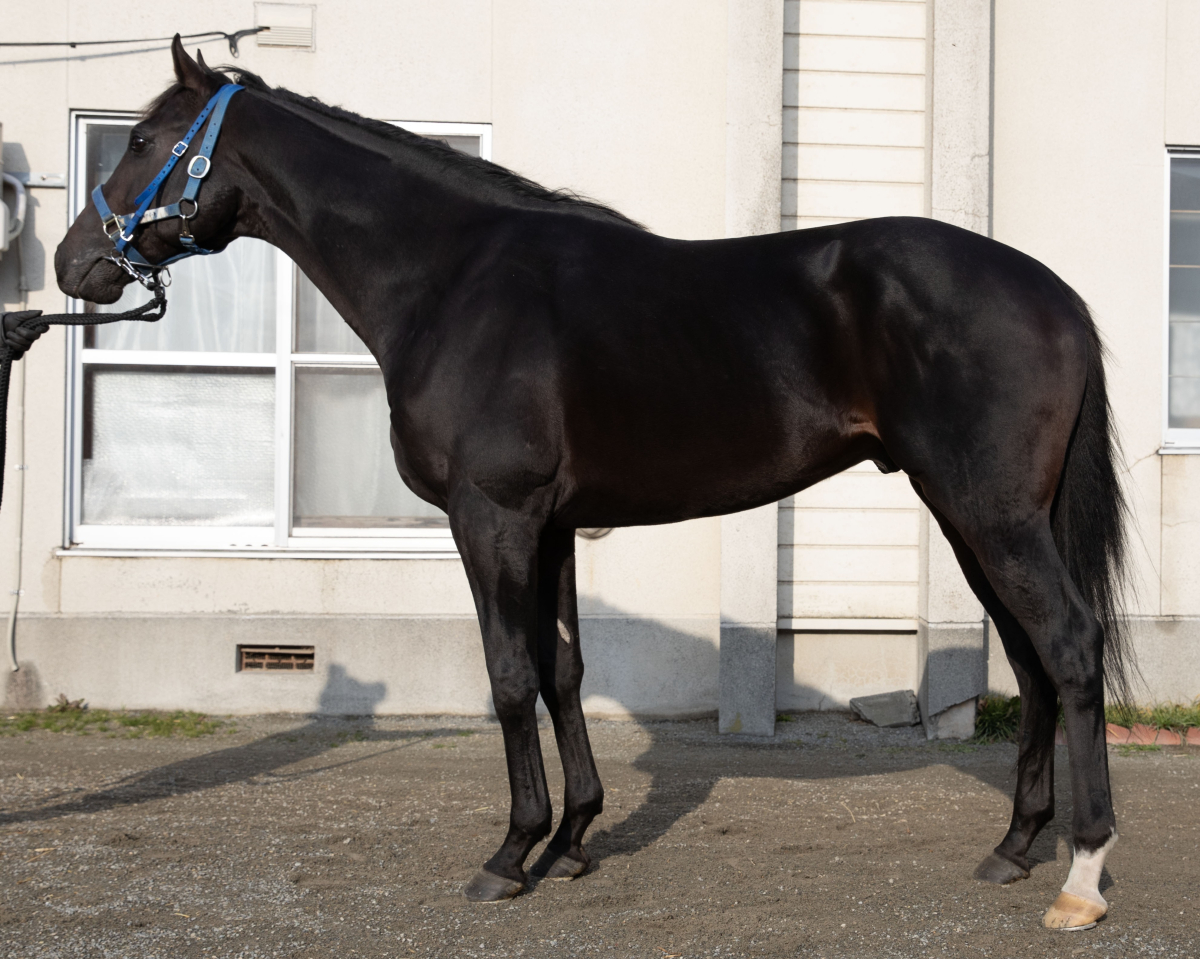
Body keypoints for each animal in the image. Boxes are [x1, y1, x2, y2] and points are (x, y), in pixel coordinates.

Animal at [47, 38, 1134, 930]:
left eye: (144, 140)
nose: (73, 263)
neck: (452, 278)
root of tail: (1056, 293)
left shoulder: (492, 517)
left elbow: (508, 675)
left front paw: (509, 852)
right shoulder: (554, 525)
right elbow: (563, 669)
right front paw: (572, 839)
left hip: (991, 514)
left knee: (1070, 646)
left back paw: (1082, 876)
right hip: (972, 516)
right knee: (1034, 659)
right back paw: (1014, 846)